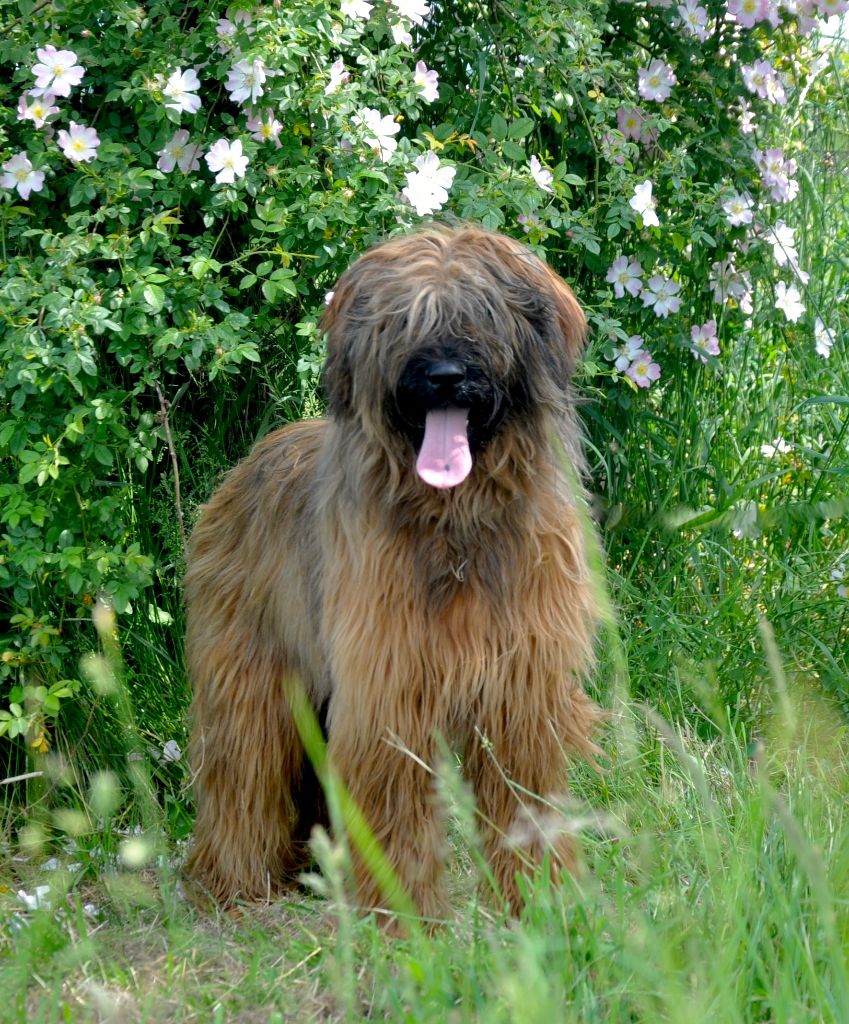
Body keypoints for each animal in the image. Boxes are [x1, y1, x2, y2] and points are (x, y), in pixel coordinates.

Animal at [182, 226, 598, 921]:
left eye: (479, 314)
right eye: (405, 322)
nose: (444, 376)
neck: (455, 524)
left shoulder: (521, 692)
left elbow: (523, 798)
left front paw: (540, 901)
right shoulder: (390, 686)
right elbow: (392, 807)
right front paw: (404, 918)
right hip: (254, 677)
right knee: (243, 773)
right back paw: (231, 884)